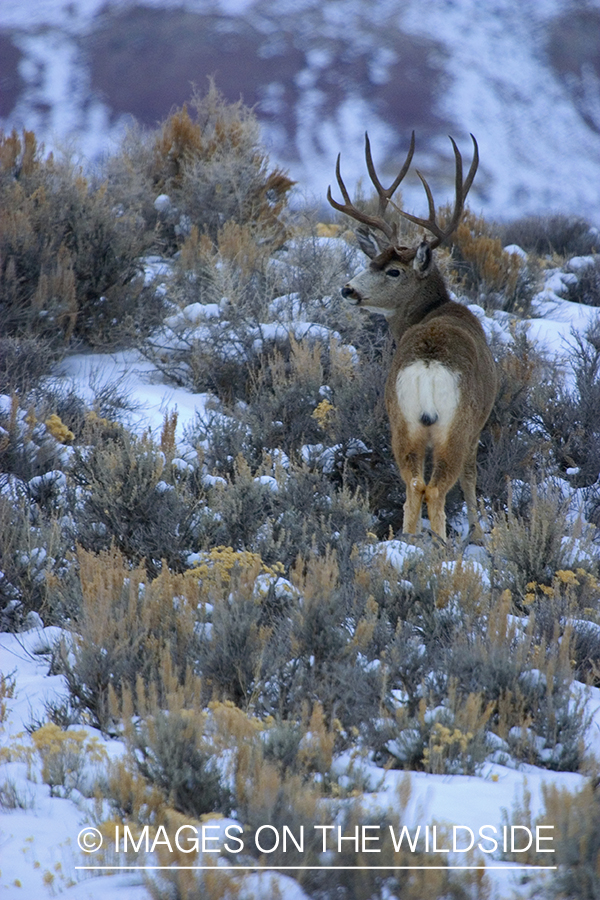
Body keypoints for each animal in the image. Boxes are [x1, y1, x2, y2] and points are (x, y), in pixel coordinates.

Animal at [328, 132, 497, 541]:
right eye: (373, 263)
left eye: (391, 270)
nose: (348, 289)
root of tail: (428, 363)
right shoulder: (479, 425)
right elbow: (471, 479)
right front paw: (479, 535)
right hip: (456, 425)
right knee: (436, 487)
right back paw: (441, 545)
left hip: (400, 418)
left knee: (413, 484)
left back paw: (409, 541)